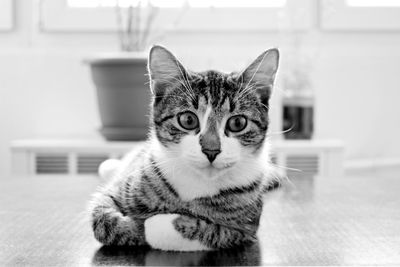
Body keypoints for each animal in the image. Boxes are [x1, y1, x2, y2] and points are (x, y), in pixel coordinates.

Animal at [90, 45, 280, 252]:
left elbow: (210, 231)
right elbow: (102, 219)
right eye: (188, 120)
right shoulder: (119, 189)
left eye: (238, 123)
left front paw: (151, 225)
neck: (197, 181)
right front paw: (135, 226)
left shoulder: (245, 228)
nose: (211, 150)